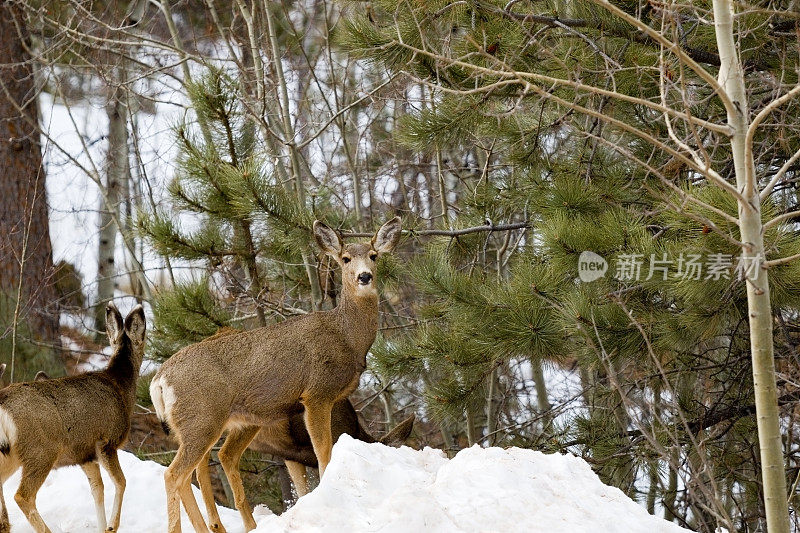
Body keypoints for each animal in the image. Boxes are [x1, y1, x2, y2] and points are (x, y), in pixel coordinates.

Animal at [0, 304, 146, 532]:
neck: (119, 386)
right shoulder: (106, 441)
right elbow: (121, 481)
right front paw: (112, 526)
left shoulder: (84, 455)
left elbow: (98, 490)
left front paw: (103, 527)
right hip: (41, 450)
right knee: (23, 496)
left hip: (11, 454)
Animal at [150, 214, 404, 528]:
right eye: (345, 259)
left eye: (373, 255)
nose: (364, 276)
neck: (346, 336)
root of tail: (160, 380)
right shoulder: (317, 393)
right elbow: (324, 453)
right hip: (201, 419)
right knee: (174, 473)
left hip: (213, 423)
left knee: (197, 471)